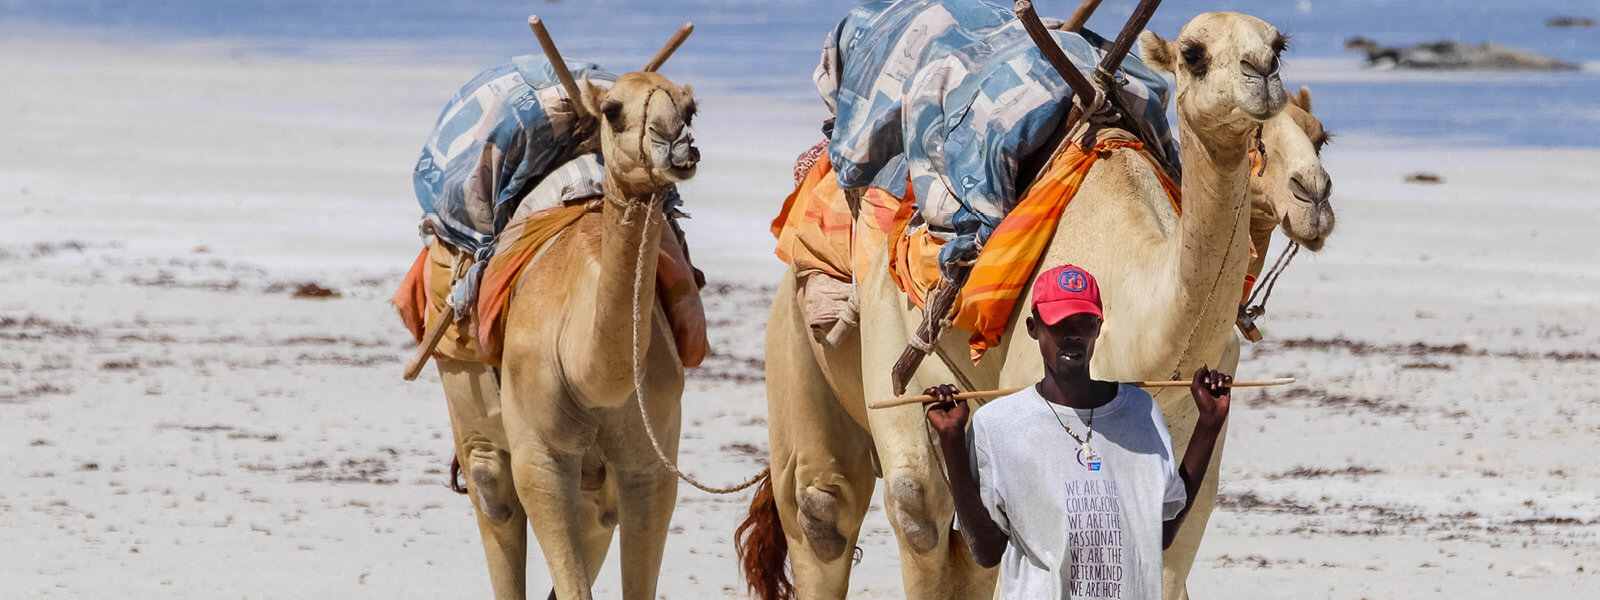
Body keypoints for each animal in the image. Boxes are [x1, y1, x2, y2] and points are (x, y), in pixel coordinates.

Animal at [435, 71, 700, 600]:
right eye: (613, 110)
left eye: (690, 109)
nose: (676, 144)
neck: (587, 373)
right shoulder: (541, 457)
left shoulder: (652, 463)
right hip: (466, 394)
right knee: (491, 491)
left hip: (596, 486)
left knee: (597, 515)